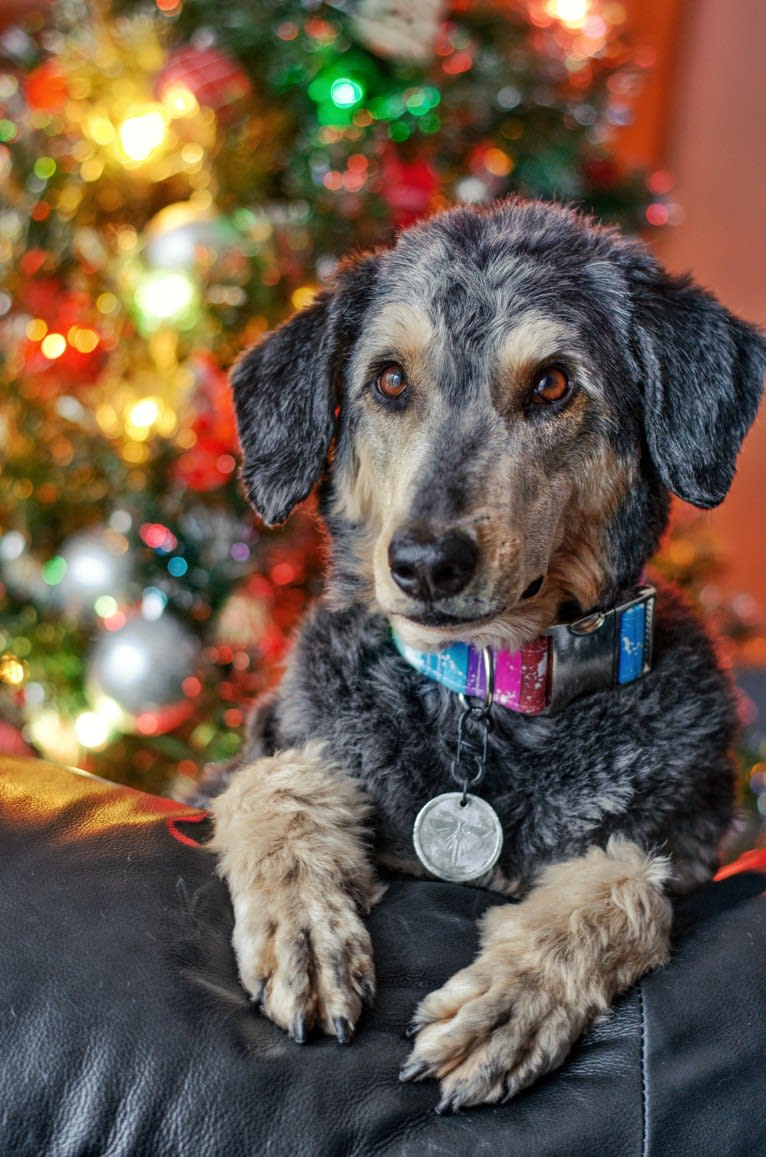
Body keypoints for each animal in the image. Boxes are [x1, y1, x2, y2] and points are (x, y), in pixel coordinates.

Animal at [205, 201, 766, 1110]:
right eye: (389, 379)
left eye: (553, 384)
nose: (426, 562)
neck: (481, 692)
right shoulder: (263, 746)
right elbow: (271, 786)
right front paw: (306, 932)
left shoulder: (682, 847)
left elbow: (625, 888)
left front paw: (510, 1000)